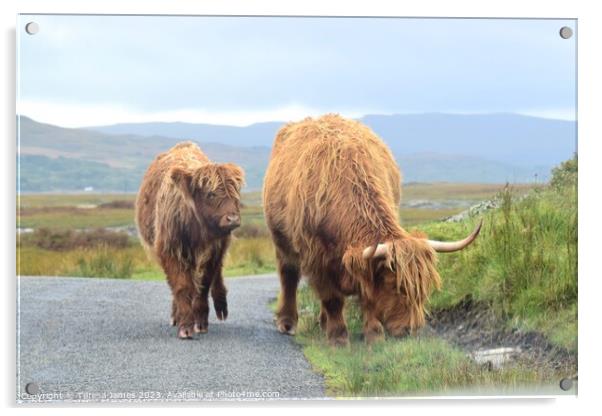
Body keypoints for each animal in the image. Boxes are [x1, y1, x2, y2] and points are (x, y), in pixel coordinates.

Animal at [136, 142, 244, 338]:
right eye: (210, 194)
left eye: (236, 194)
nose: (232, 219)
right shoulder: (170, 250)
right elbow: (181, 286)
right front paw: (186, 326)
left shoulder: (214, 250)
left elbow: (204, 284)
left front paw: (200, 321)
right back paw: (176, 315)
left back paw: (220, 306)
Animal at [262, 115, 478, 346]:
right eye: (395, 286)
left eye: (423, 288)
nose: (411, 330)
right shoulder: (316, 259)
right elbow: (332, 298)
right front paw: (338, 339)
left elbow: (368, 297)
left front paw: (374, 336)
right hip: (282, 242)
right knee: (289, 276)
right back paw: (287, 323)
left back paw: (323, 323)